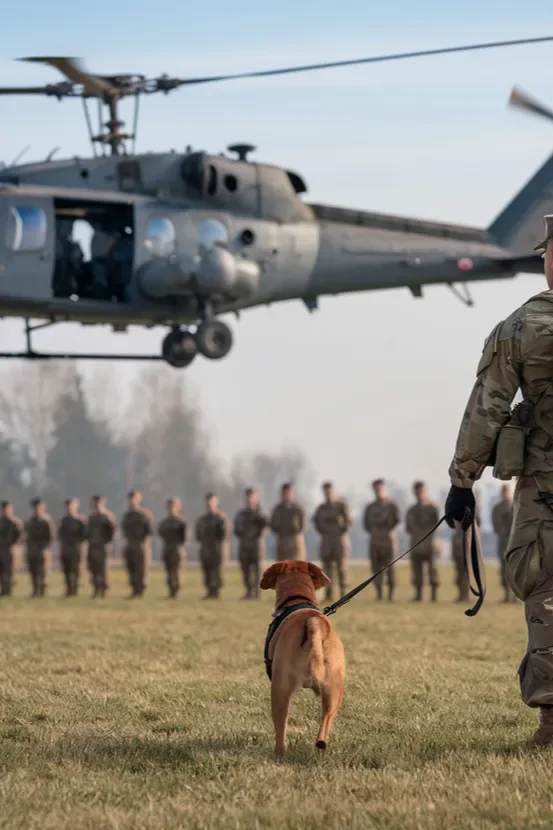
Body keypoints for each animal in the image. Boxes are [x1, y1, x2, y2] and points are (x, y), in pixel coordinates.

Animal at [260, 564, 344, 756]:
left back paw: (279, 753)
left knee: (280, 728)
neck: (298, 599)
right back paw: (321, 744)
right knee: (326, 719)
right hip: (334, 690)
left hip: (280, 690)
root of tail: (314, 623)